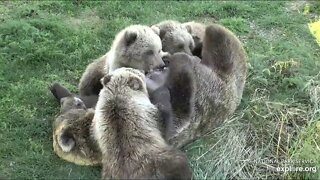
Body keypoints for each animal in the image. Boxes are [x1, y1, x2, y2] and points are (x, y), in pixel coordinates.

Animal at [51, 22, 246, 166]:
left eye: (78, 104)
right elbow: (178, 114)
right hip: (228, 70)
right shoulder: (153, 124)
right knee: (219, 35)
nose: (161, 65)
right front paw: (180, 60)